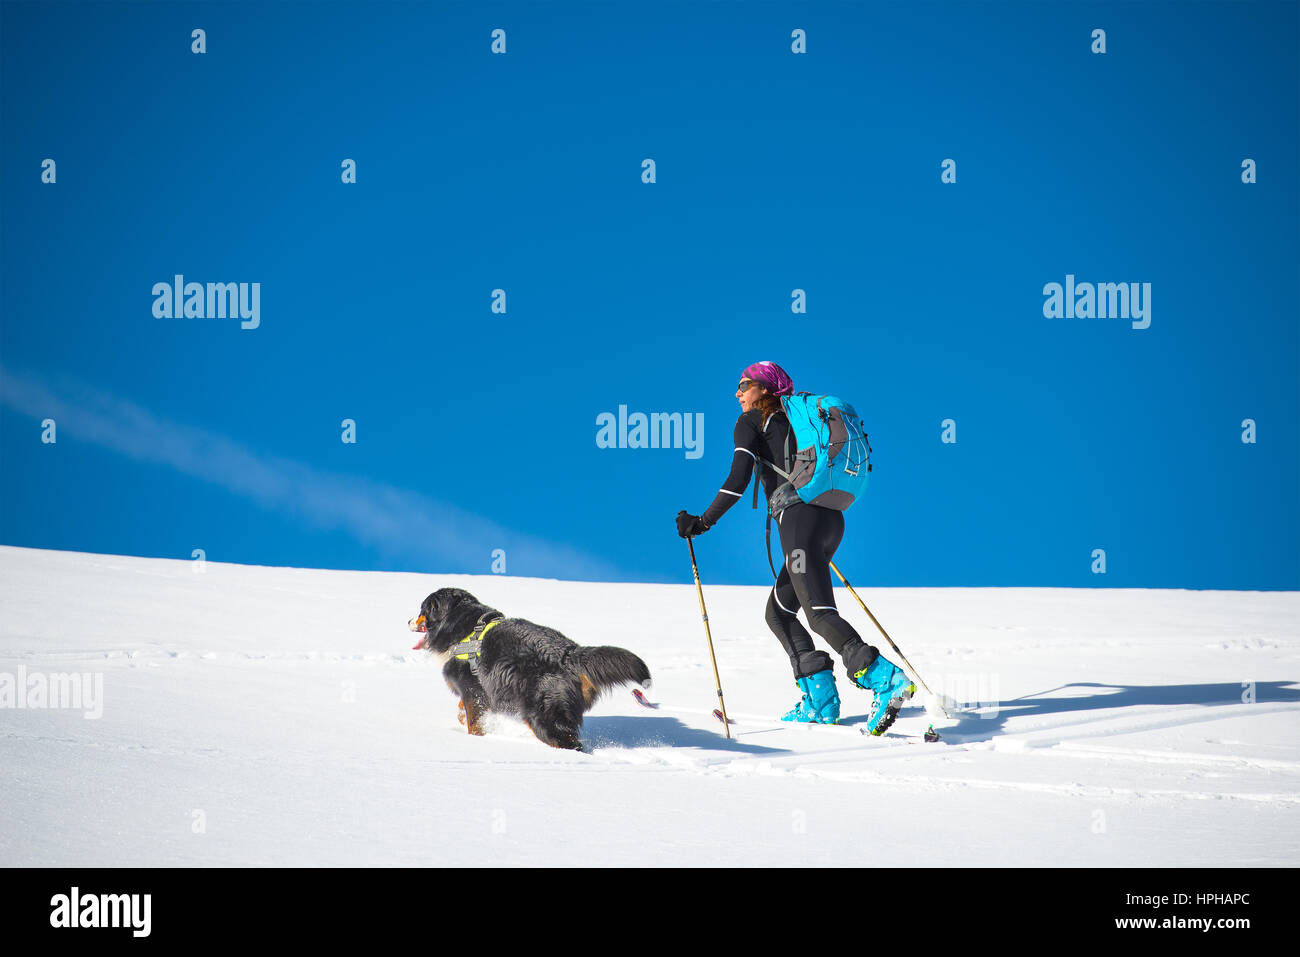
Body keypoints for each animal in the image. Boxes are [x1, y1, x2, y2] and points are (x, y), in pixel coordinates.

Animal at [405, 587, 650, 748]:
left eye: (422, 609)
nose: (408, 621)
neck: (460, 625)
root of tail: (569, 653)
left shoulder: (470, 688)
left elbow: (473, 720)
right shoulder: (482, 689)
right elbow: (464, 711)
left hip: (543, 715)